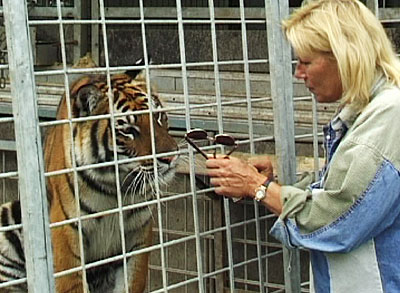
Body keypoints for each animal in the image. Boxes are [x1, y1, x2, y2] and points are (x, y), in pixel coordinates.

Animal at [0, 62, 180, 290]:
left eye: (158, 117)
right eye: (129, 130)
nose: (171, 157)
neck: (115, 187)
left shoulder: (138, 232)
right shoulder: (67, 230)